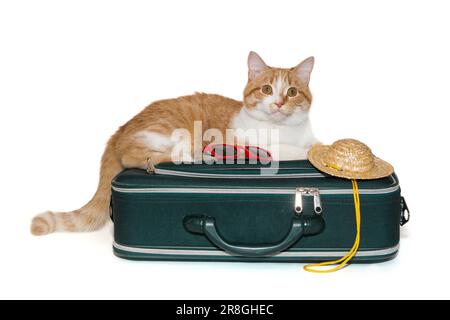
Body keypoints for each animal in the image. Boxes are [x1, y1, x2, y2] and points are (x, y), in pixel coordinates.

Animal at [30, 50, 316, 235]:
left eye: (292, 92)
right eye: (267, 89)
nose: (279, 103)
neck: (284, 129)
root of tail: (120, 129)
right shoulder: (251, 145)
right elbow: (291, 150)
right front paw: (309, 150)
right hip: (172, 131)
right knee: (140, 156)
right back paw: (196, 156)